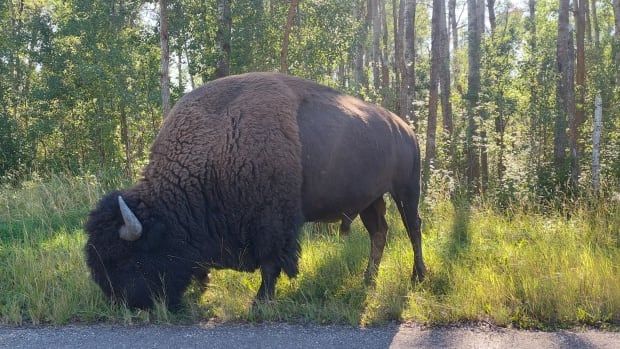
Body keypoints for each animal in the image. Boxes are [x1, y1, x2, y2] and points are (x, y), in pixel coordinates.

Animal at [85, 72, 426, 308]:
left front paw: (261, 300)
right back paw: (368, 281)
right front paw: (204, 285)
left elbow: (271, 262)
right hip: (371, 200)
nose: (121, 303)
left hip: (406, 190)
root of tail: (406, 128)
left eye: (126, 258)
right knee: (379, 232)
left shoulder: (271, 222)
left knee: (413, 228)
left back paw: (418, 277)